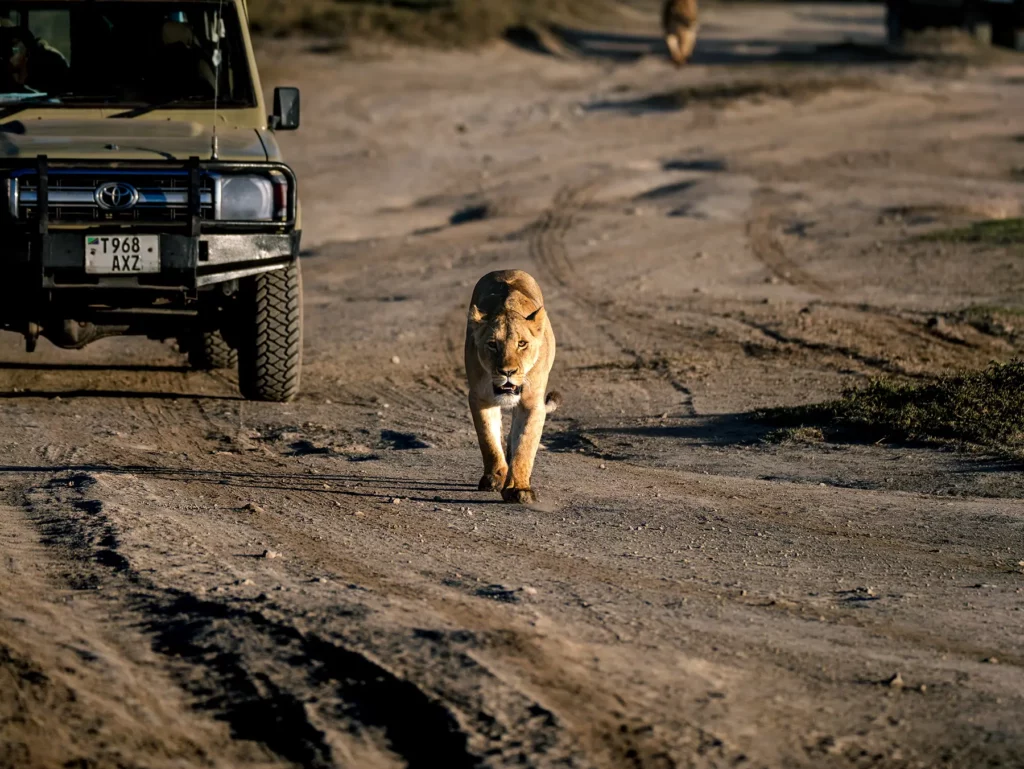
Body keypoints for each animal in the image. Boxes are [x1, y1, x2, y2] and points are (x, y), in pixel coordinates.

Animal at [465, 270, 561, 505]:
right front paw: (495, 477)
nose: (507, 372)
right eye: (492, 344)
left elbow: (525, 445)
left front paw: (519, 488)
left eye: (522, 344)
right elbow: (488, 439)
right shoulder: (479, 398)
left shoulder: (533, 403)